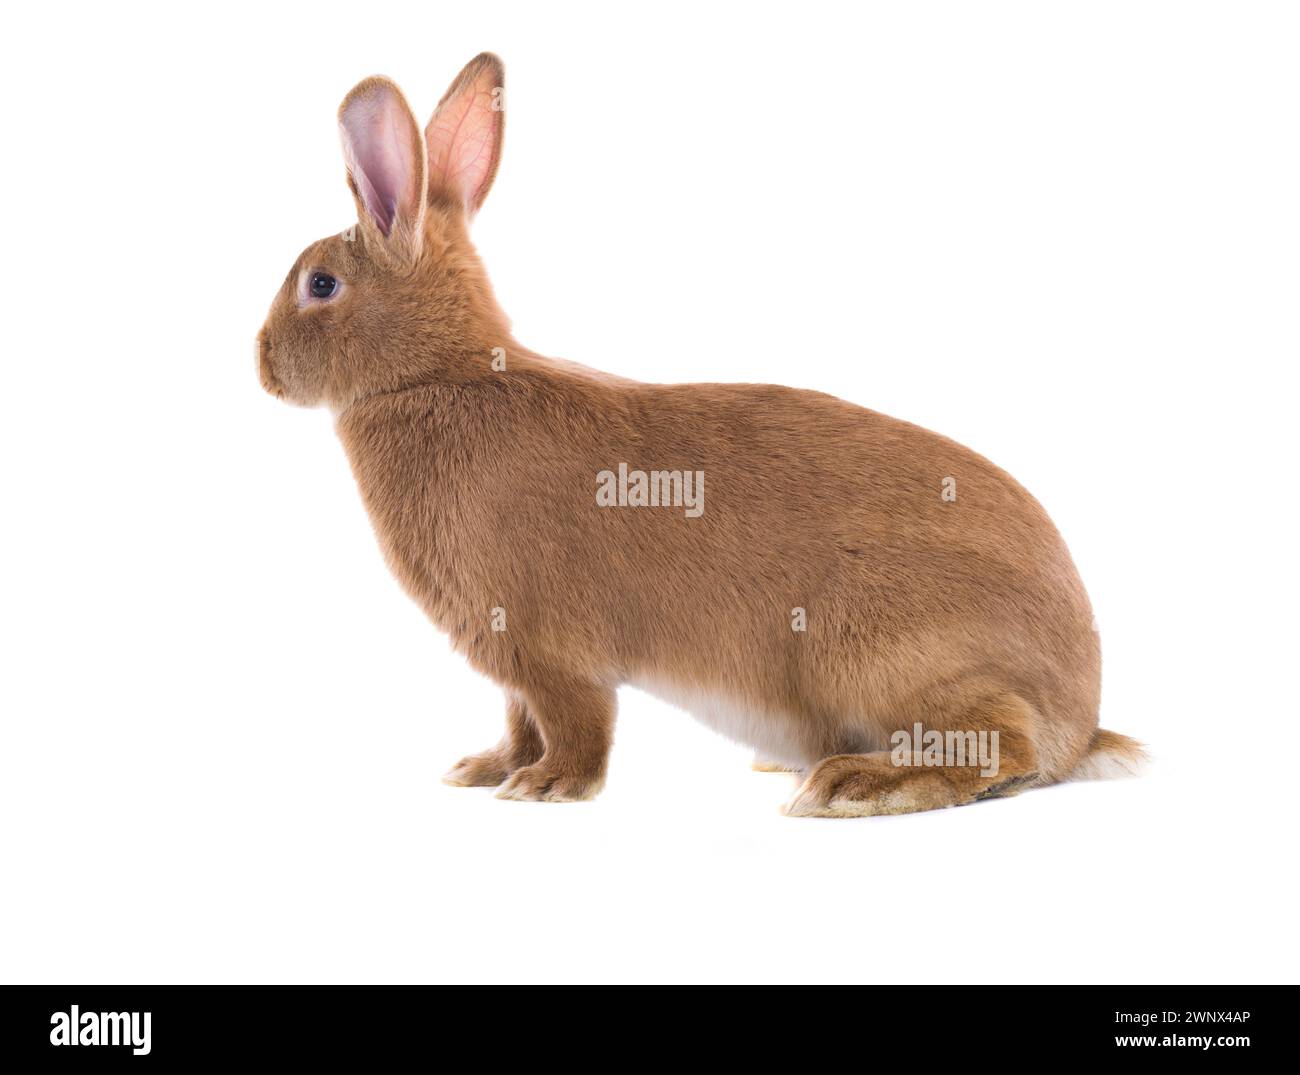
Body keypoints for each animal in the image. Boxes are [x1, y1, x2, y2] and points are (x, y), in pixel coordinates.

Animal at [257, 53, 1145, 817]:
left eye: (320, 284)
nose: (261, 364)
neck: (440, 375)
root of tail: (1082, 715)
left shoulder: (551, 649)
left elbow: (575, 722)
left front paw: (547, 787)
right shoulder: (512, 666)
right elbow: (519, 721)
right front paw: (487, 769)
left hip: (872, 646)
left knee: (1002, 748)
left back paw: (852, 782)